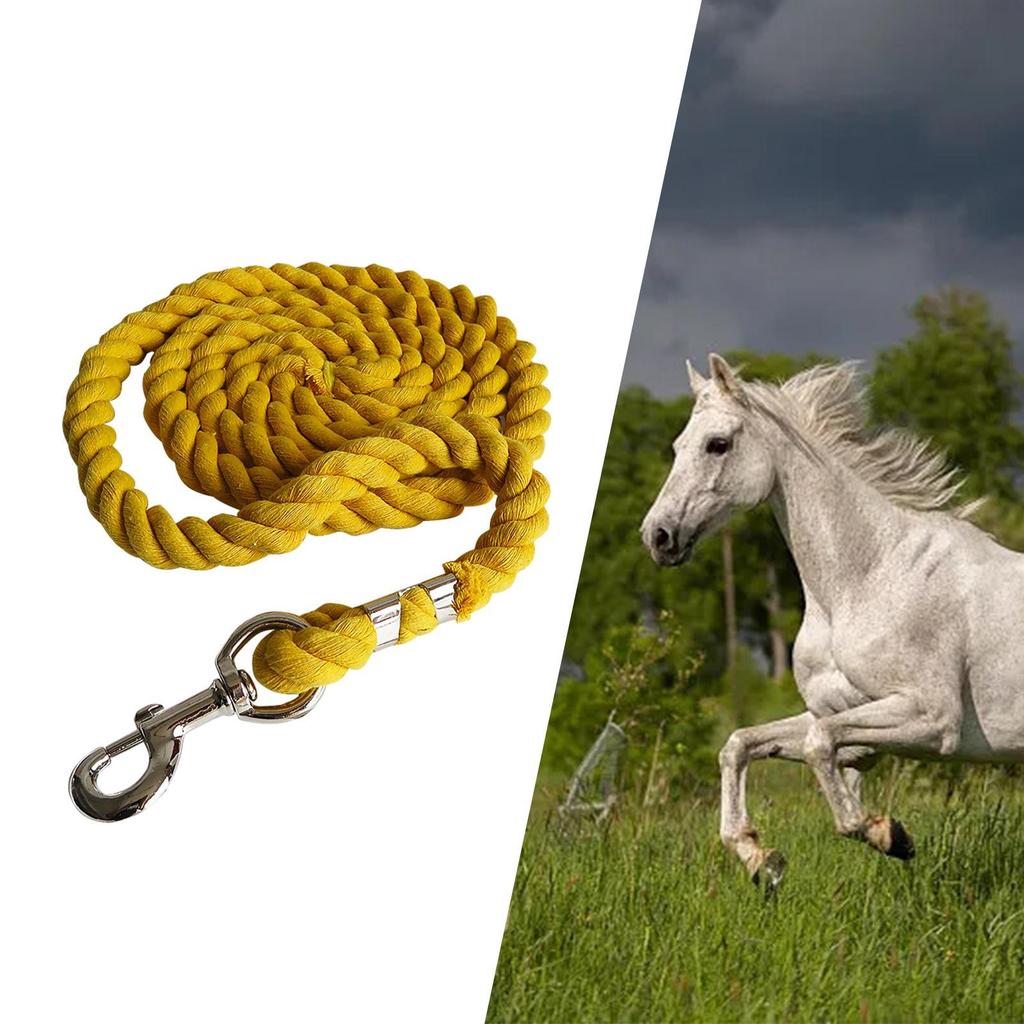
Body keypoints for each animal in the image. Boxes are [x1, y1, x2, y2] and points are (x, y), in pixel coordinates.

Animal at [641, 354, 1024, 891]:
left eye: (718, 444)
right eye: (678, 446)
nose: (657, 536)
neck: (869, 576)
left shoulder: (932, 718)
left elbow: (820, 750)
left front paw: (889, 835)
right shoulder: (833, 710)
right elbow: (740, 745)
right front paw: (760, 858)